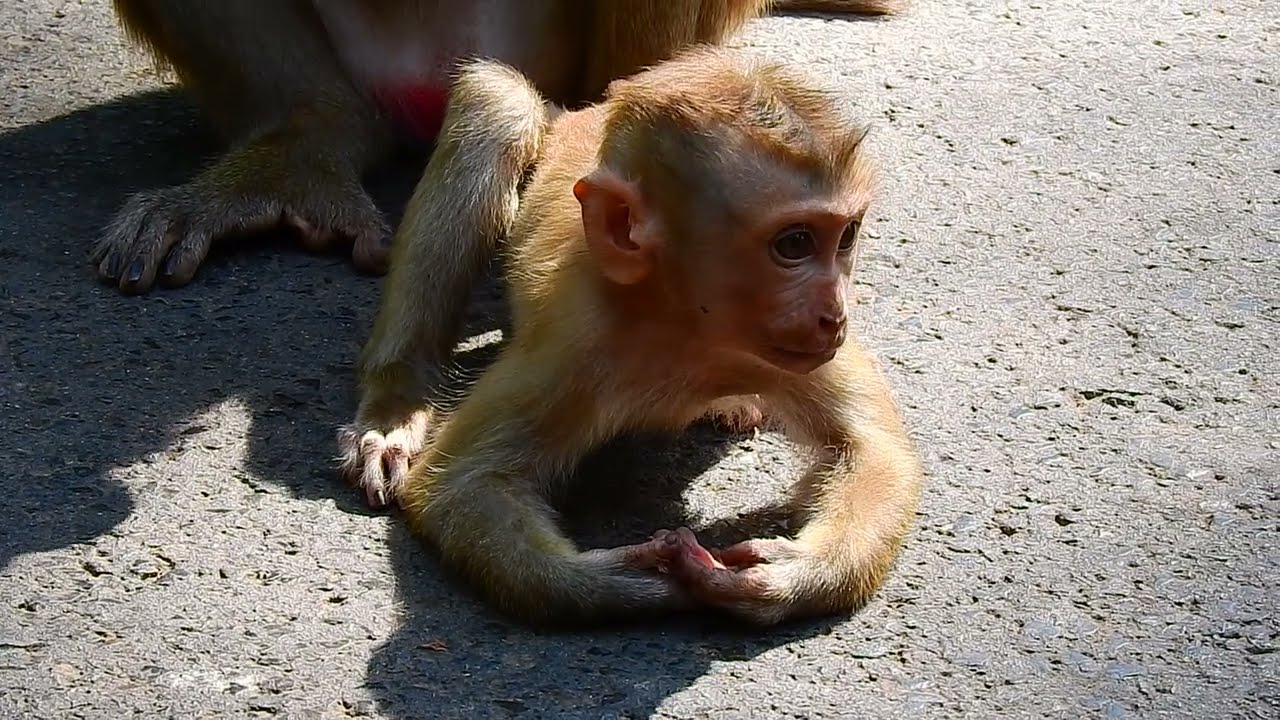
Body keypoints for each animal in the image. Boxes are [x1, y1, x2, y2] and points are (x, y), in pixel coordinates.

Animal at [336, 45, 923, 626]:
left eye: (846, 238)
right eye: (794, 244)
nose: (834, 312)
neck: (688, 328)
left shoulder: (796, 352)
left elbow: (872, 448)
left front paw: (781, 576)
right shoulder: (573, 348)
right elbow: (456, 485)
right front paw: (623, 579)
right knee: (499, 107)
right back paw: (396, 405)